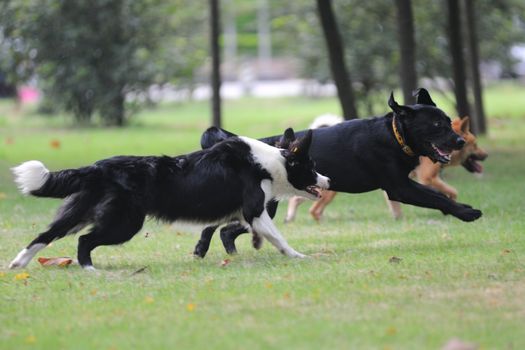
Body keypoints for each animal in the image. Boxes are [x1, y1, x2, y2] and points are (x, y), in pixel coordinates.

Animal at [8, 130, 328, 270]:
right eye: (312, 166)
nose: (328, 180)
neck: (270, 163)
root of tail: (99, 167)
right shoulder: (254, 210)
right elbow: (279, 237)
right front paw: (299, 256)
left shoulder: (243, 213)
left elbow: (227, 230)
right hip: (124, 222)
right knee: (84, 241)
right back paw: (89, 269)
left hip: (79, 212)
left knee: (45, 235)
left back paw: (18, 263)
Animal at [284, 117, 486, 221]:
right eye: (475, 144)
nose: (485, 155)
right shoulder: (422, 179)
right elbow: (449, 192)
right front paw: (460, 210)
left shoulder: (400, 183)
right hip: (329, 190)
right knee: (311, 207)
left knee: (299, 199)